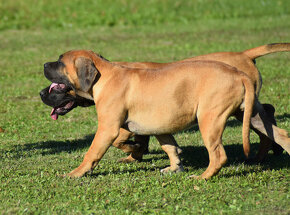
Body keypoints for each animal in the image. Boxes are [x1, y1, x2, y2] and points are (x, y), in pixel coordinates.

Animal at [41, 49, 290, 179]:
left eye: (60, 62)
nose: (43, 64)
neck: (105, 75)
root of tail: (239, 74)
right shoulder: (159, 125)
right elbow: (169, 146)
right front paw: (174, 166)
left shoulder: (108, 129)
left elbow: (92, 152)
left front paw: (77, 173)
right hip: (252, 115)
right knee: (280, 133)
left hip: (210, 120)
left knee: (219, 155)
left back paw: (203, 177)